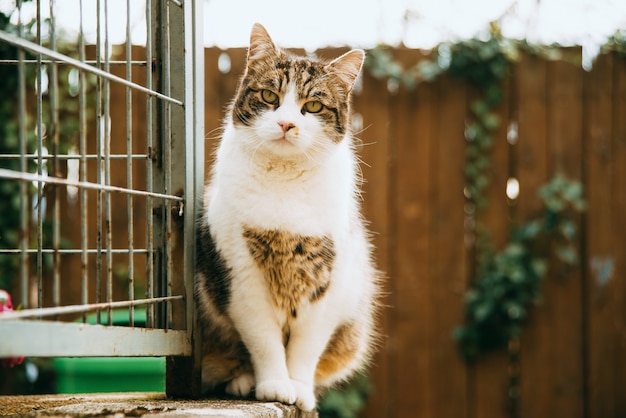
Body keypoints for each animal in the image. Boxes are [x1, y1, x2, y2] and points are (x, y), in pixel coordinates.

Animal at [195, 23, 380, 412]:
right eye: (269, 96)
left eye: (313, 106)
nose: (285, 123)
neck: (284, 181)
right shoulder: (242, 276)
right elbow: (264, 341)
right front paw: (275, 385)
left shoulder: (328, 283)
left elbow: (306, 349)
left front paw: (299, 389)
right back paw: (243, 381)